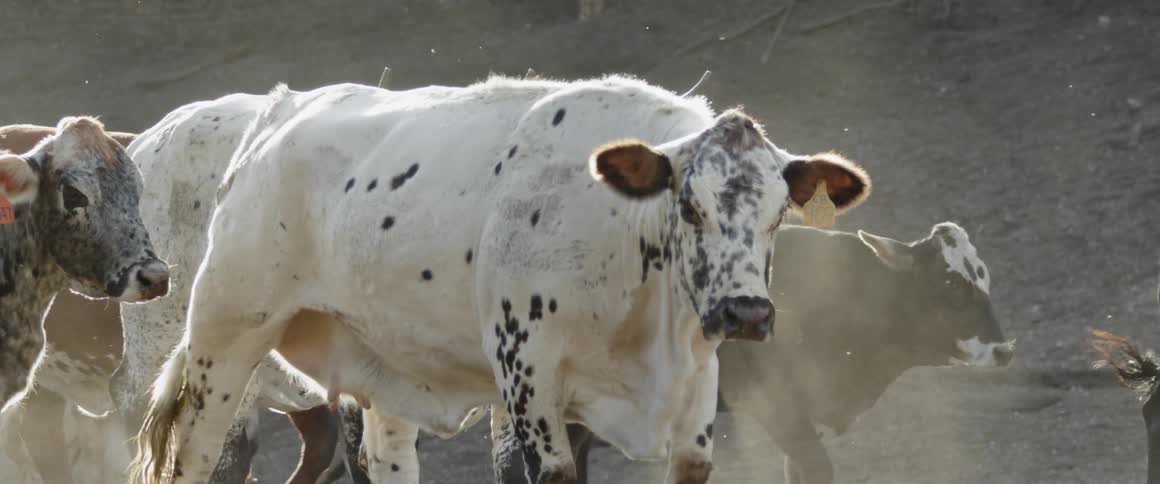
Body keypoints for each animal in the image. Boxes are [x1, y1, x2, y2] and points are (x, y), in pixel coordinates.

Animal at [128, 74, 872, 484]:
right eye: (689, 205)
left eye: (779, 213)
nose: (747, 313)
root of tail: (280, 110)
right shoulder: (528, 376)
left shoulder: (695, 394)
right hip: (222, 341)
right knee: (198, 458)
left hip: (377, 367)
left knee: (380, 460)